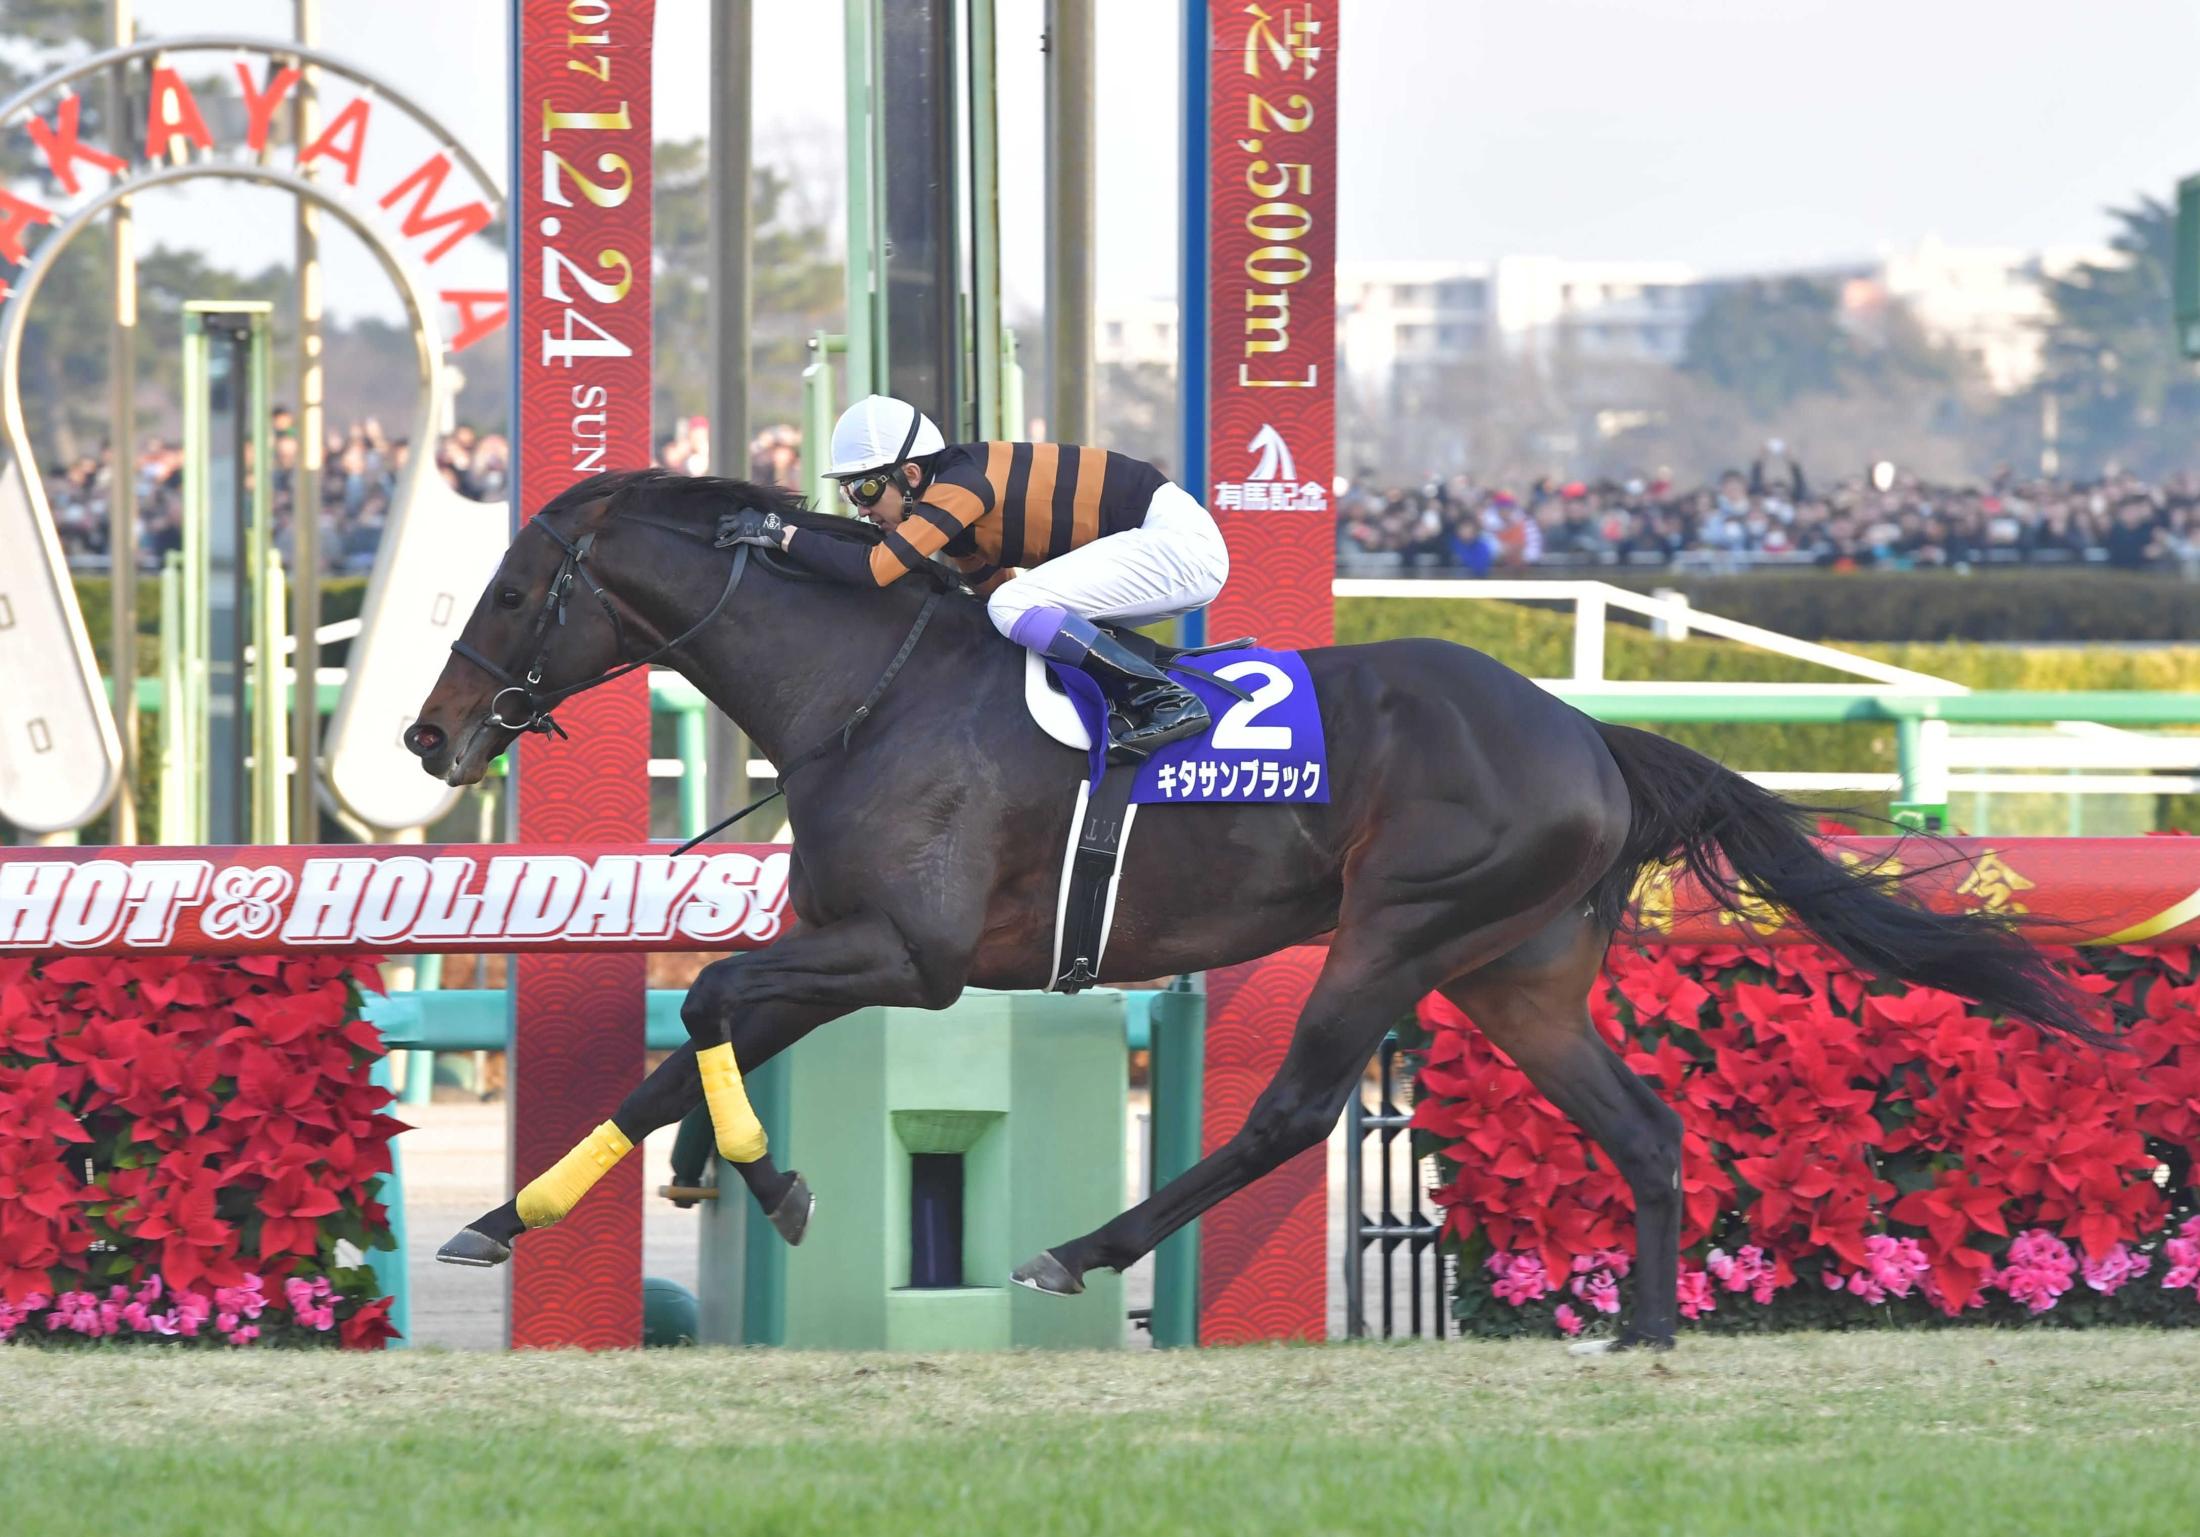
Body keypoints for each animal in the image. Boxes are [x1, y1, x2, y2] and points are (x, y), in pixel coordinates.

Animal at [402, 468, 2099, 1349]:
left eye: (508, 596)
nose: (429, 736)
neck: (863, 692)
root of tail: (1584, 731)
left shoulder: (914, 957)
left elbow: (700, 1005)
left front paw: (767, 1179)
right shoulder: (851, 947)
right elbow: (682, 1044)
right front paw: (511, 1215)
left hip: (1400, 931)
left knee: (1292, 1113)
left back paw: (1079, 1252)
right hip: (1517, 974)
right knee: (1642, 1123)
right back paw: (1645, 1328)